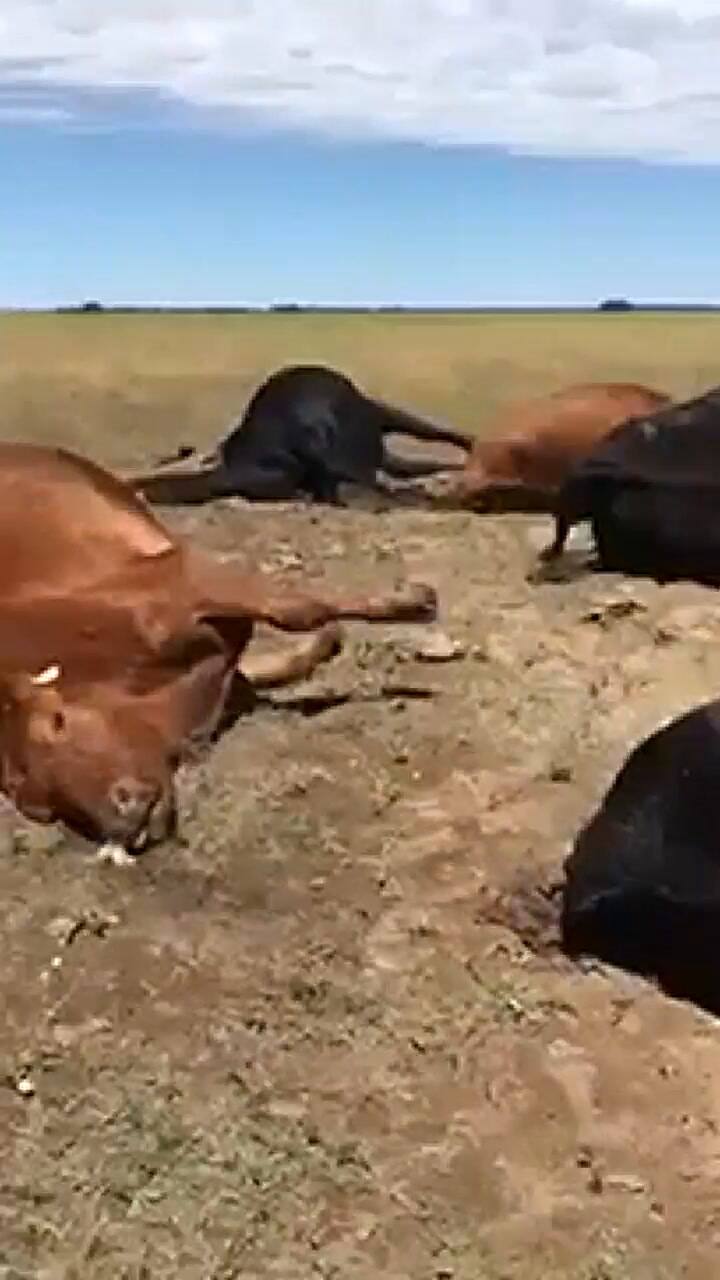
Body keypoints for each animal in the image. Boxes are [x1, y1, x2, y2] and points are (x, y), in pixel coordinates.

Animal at [0, 443, 438, 863]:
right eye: (40, 804)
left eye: (59, 720)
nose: (121, 821)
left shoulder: (180, 576)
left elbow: (296, 609)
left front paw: (411, 601)